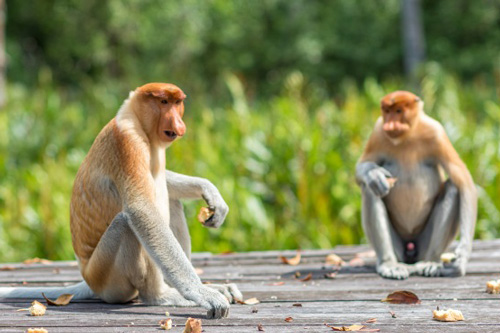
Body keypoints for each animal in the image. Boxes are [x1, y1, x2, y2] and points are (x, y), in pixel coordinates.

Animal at [0, 82, 242, 316]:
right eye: (163, 102)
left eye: (177, 103)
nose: (179, 123)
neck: (134, 117)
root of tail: (88, 279)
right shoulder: (127, 142)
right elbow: (141, 209)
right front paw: (202, 293)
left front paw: (209, 190)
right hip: (106, 274)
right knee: (127, 222)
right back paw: (162, 296)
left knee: (171, 201)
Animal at [356, 89, 476, 278]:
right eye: (386, 111)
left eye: (398, 111)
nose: (389, 125)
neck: (408, 136)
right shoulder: (378, 132)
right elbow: (361, 167)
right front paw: (374, 175)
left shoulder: (437, 133)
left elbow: (464, 181)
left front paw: (462, 257)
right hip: (398, 247)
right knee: (369, 190)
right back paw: (390, 264)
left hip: (423, 244)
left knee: (452, 188)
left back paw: (431, 262)